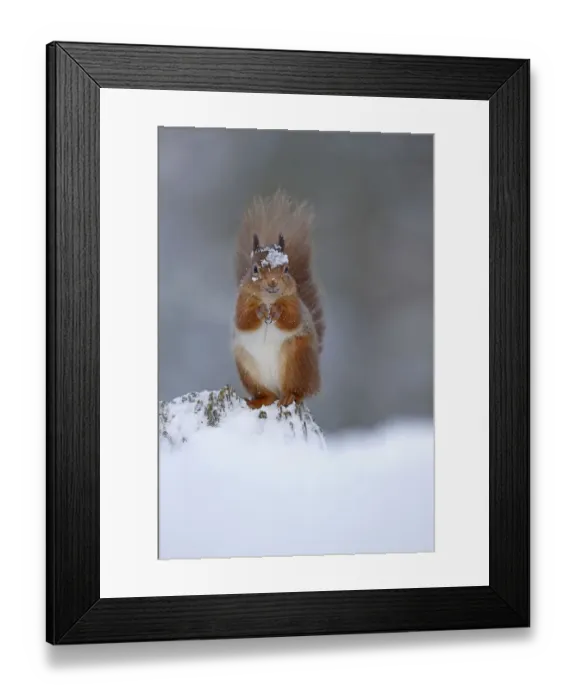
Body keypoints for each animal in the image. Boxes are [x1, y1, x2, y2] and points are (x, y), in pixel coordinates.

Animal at [232, 190, 325, 410]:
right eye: (255, 269)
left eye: (286, 269)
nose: (273, 283)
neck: (268, 299)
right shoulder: (242, 301)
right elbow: (243, 320)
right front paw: (260, 312)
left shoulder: (295, 303)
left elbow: (291, 318)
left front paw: (276, 312)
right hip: (249, 372)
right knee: (268, 395)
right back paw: (258, 401)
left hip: (297, 360)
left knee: (299, 391)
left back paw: (290, 397)